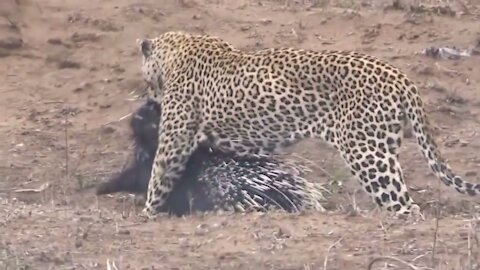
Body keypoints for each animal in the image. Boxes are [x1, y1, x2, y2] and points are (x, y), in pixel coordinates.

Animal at [136, 30, 480, 218]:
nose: (147, 96)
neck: (176, 49)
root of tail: (401, 77)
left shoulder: (174, 142)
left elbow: (158, 178)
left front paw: (147, 213)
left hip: (368, 154)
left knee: (406, 207)